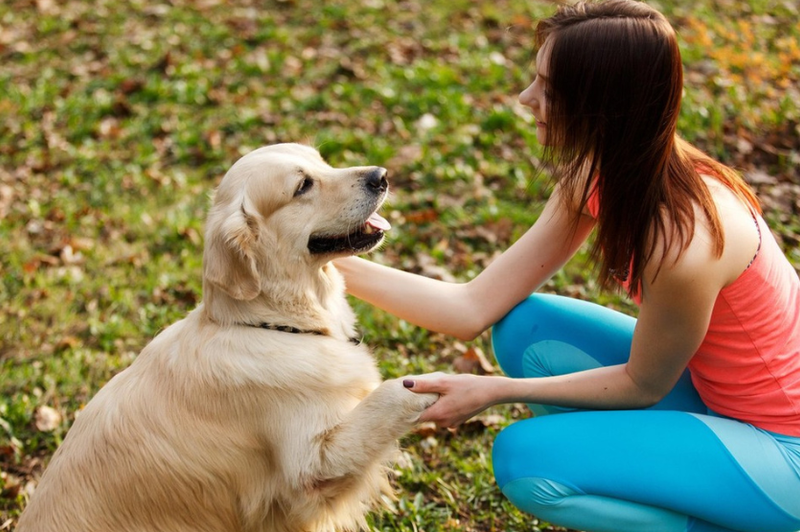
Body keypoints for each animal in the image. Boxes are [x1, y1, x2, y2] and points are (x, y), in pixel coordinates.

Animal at [17, 142, 438, 532]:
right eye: (302, 185)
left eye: (321, 161)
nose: (382, 176)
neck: (266, 324)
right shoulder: (309, 466)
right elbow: (384, 398)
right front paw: (427, 389)